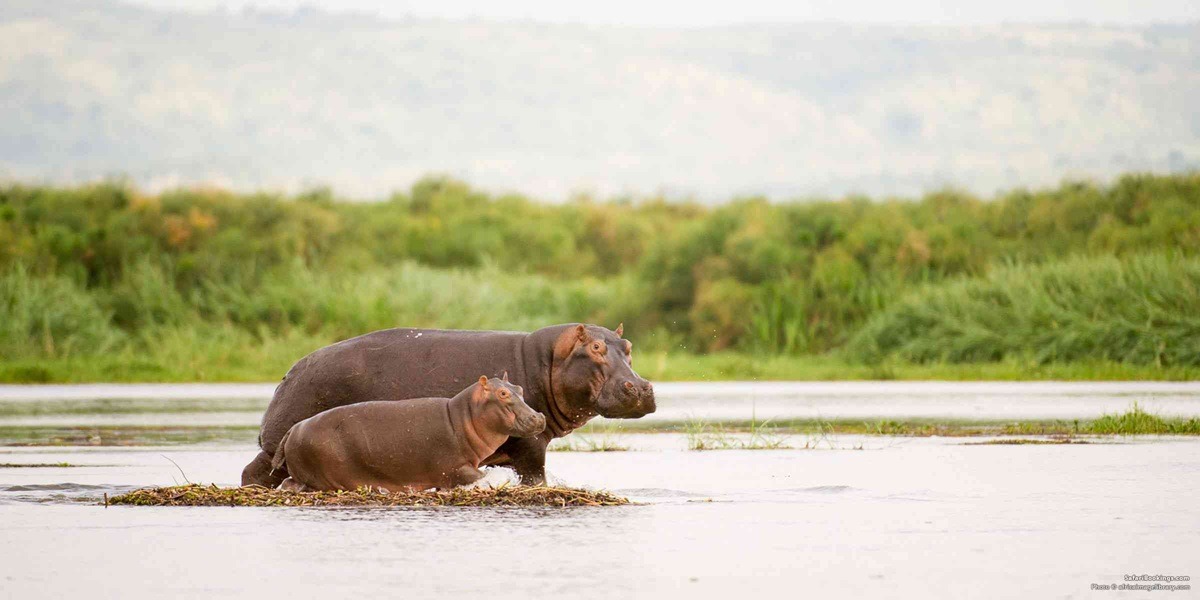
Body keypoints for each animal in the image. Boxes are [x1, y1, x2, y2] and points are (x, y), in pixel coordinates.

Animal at [271, 374, 544, 492]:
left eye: (519, 388)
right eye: (503, 393)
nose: (539, 417)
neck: (462, 416)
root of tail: (294, 428)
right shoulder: (453, 467)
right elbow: (480, 475)